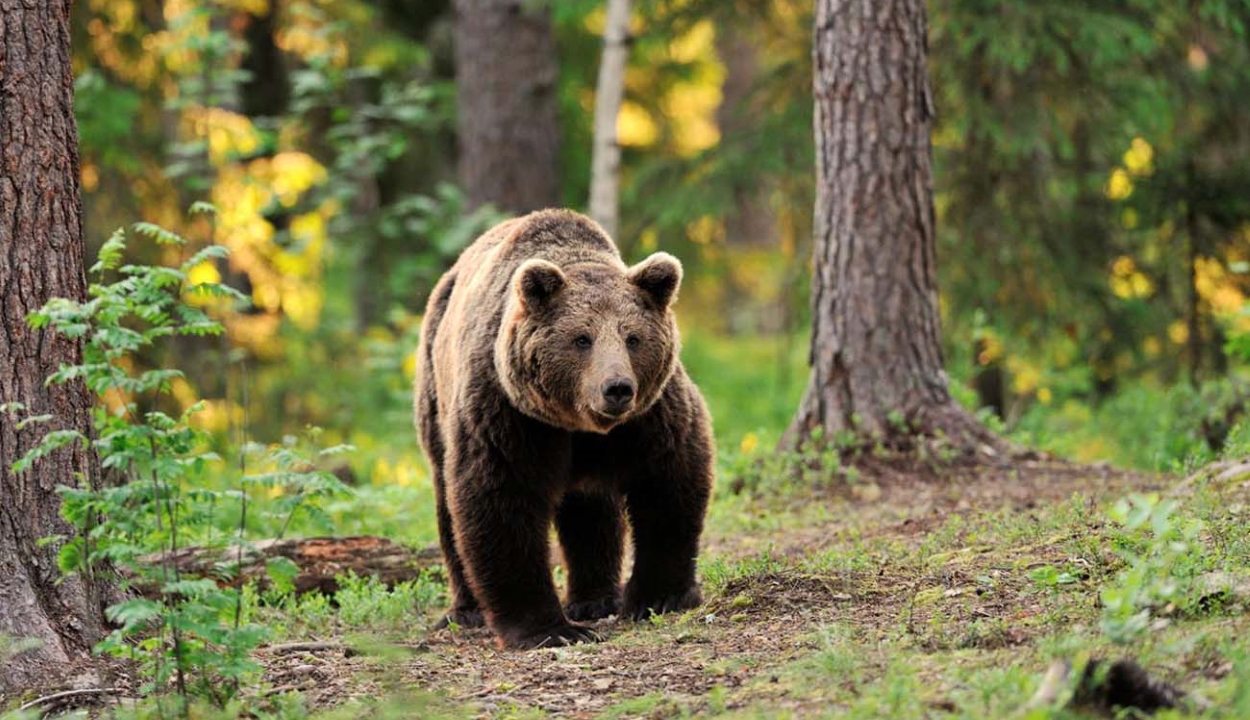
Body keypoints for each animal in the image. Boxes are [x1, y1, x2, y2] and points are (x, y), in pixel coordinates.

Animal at [415, 206, 715, 645]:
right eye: (581, 338)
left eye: (633, 338)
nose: (617, 388)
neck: (578, 423)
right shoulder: (509, 414)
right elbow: (500, 502)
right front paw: (548, 628)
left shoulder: (650, 416)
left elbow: (668, 483)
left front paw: (660, 596)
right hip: (435, 393)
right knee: (447, 506)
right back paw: (467, 610)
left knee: (590, 508)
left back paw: (594, 599)